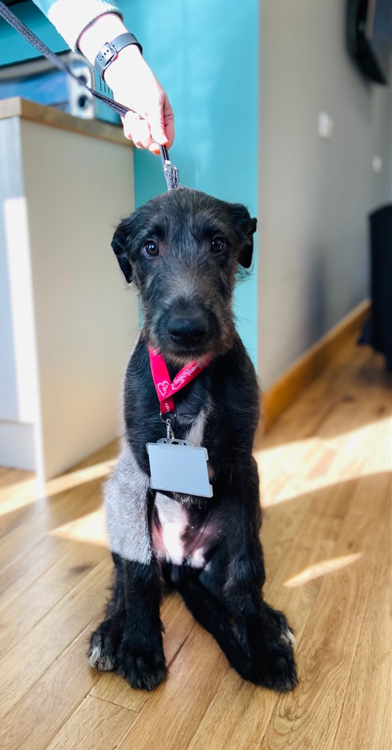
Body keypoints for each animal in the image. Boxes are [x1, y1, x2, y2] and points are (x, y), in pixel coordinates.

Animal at [89, 188, 298, 692]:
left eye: (219, 244)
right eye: (149, 247)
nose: (187, 330)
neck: (190, 378)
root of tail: (180, 563)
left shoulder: (243, 468)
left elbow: (246, 571)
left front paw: (262, 643)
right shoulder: (135, 472)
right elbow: (137, 574)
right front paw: (140, 645)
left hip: (241, 521)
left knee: (228, 580)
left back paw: (267, 619)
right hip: (119, 506)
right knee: (124, 576)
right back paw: (112, 631)